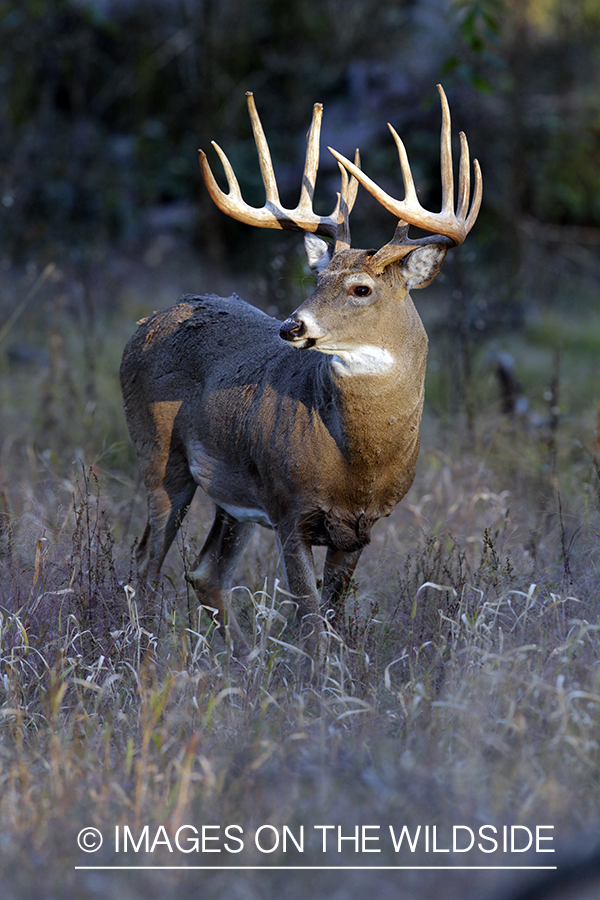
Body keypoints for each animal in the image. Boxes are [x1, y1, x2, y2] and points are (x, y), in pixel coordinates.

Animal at [122, 84, 482, 660]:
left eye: (361, 288)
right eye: (318, 277)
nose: (291, 325)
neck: (356, 462)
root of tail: (148, 322)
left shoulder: (359, 529)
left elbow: (330, 618)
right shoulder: (289, 508)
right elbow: (311, 621)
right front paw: (314, 678)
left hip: (235, 494)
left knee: (204, 572)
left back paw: (241, 660)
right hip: (160, 455)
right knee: (144, 565)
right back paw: (149, 656)